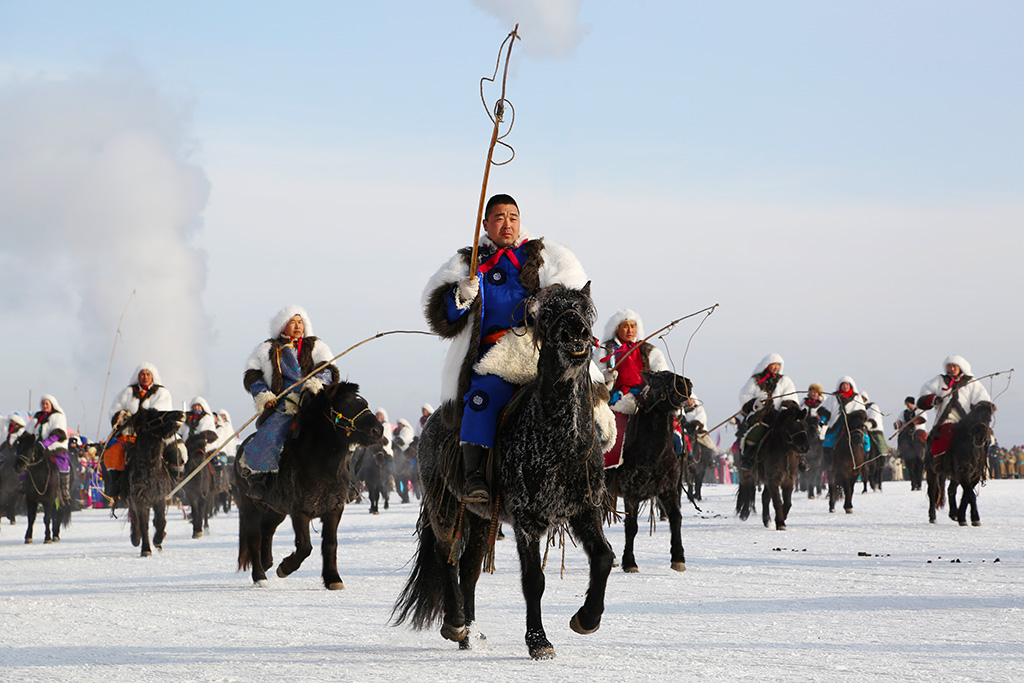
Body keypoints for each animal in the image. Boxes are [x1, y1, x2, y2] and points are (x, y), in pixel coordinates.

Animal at [234, 382, 382, 589]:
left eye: (364, 402)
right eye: (346, 403)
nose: (378, 430)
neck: (320, 465)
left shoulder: (334, 510)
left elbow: (330, 543)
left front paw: (333, 578)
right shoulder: (300, 512)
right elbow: (304, 546)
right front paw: (285, 567)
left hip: (276, 510)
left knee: (267, 530)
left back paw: (266, 561)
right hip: (249, 506)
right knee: (254, 537)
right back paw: (260, 576)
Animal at [393, 280, 614, 659]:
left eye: (586, 310)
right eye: (548, 312)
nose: (576, 333)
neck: (560, 439)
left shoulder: (585, 510)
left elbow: (603, 557)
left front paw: (587, 618)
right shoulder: (527, 521)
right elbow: (533, 581)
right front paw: (539, 641)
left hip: (483, 520)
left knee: (468, 570)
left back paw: (470, 634)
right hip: (447, 510)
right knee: (447, 559)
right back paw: (455, 624)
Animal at [606, 368, 696, 573]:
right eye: (659, 378)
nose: (686, 383)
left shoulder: (668, 490)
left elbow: (676, 518)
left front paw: (678, 558)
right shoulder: (631, 494)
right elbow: (631, 527)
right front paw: (630, 562)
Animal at [737, 403, 806, 532]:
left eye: (804, 426)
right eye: (793, 426)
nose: (806, 447)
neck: (785, 454)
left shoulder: (788, 481)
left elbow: (787, 503)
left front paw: (780, 518)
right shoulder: (773, 480)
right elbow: (777, 501)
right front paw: (780, 523)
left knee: (764, 497)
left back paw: (766, 520)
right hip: (748, 476)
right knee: (748, 491)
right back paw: (744, 514)